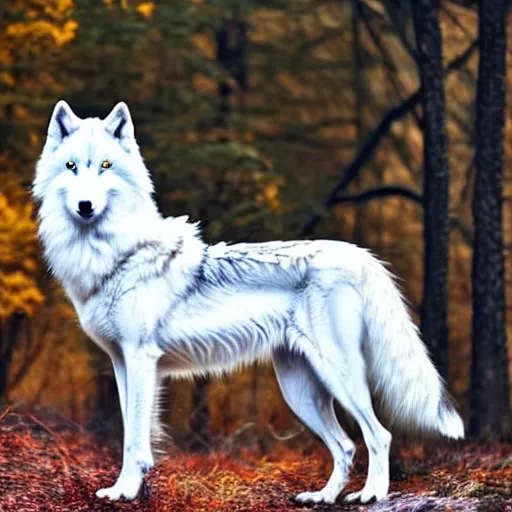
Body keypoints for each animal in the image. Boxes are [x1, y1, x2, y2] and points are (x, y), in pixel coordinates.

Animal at [33, 100, 464, 504]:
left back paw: (371, 496)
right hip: (300, 390)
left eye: (105, 166)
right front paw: (128, 489)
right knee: (345, 445)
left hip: (338, 376)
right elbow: (130, 433)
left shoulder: (141, 359)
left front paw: (124, 491)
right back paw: (323, 497)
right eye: (72, 166)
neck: (116, 255)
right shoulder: (121, 364)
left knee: (379, 435)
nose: (85, 206)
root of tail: (360, 254)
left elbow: (134, 439)